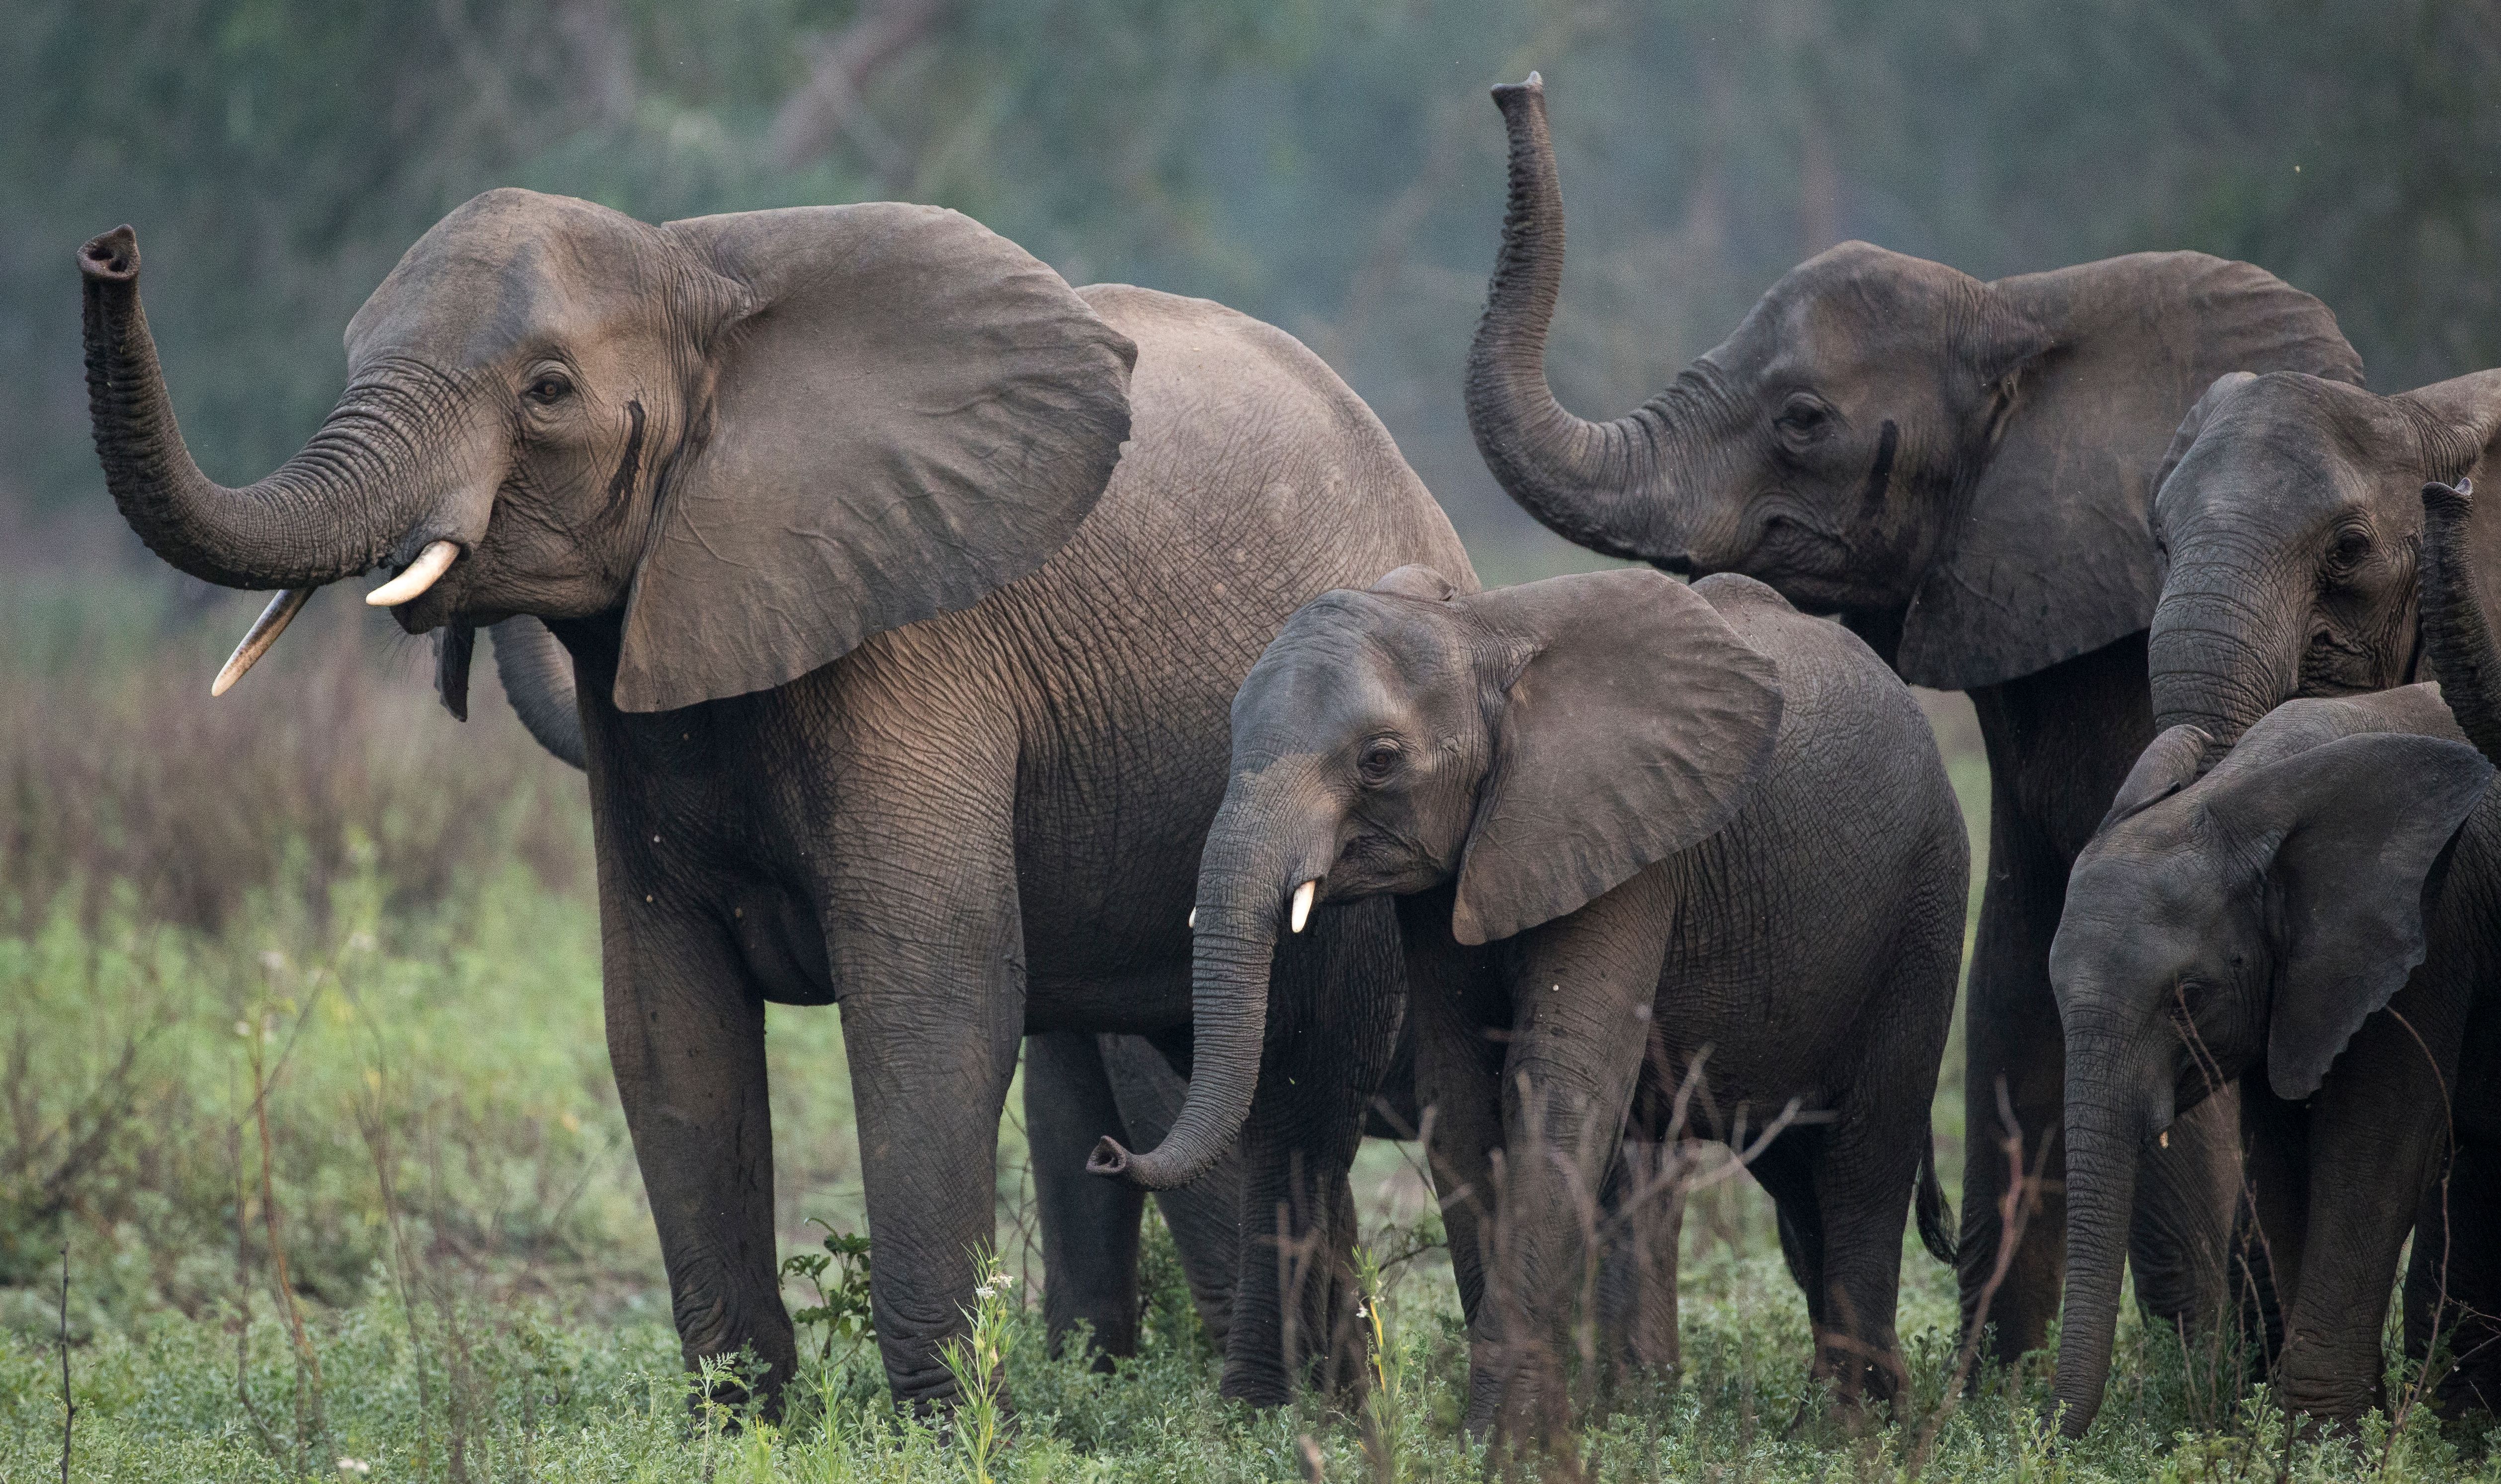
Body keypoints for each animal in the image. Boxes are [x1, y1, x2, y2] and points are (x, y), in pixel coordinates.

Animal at [1093, 564, 1967, 1434]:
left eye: (1379, 760)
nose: (1108, 1154)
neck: (1481, 635)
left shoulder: (1629, 842)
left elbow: (1564, 1088)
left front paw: (1501, 1438)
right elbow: (1463, 1102)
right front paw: (1535, 1425)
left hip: (1925, 906)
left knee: (1863, 1161)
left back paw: (1846, 1431)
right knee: (1799, 1169)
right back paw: (1861, 1414)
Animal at [1461, 72, 2361, 1360]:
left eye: (1800, 419)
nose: (1518, 83)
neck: (2013, 310)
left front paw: (2188, 1384)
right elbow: (2017, 972)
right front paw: (1996, 1384)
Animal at [2045, 685, 2495, 1434]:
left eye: (2189, 998)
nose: (2049, 1439)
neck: (2245, 793)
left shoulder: (2428, 934)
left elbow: (2374, 1150)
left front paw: (2328, 1439)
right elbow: (2284, 1162)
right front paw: (2338, 1432)